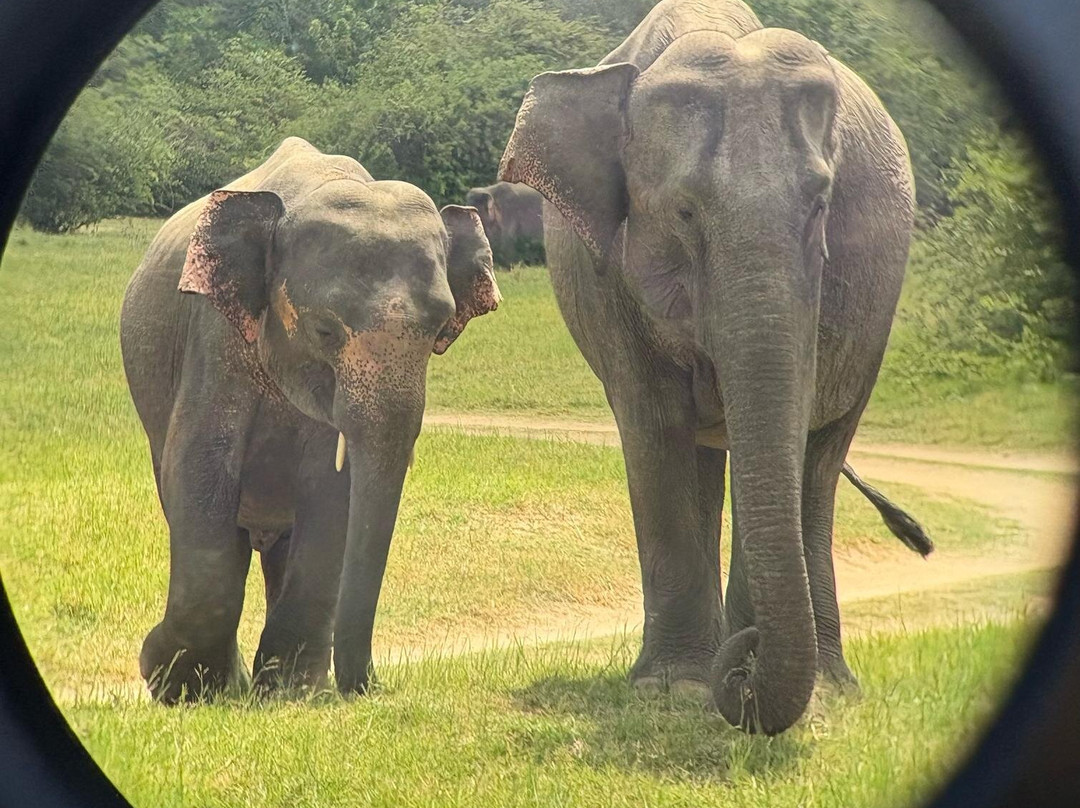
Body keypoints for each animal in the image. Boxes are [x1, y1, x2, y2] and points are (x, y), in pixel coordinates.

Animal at [120, 137, 500, 702]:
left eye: (439, 331)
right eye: (324, 331)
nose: (369, 687)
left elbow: (332, 493)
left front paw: (290, 694)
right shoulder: (214, 334)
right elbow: (200, 469)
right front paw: (173, 683)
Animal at [499, 0, 923, 733]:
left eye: (821, 206)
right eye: (684, 211)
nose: (746, 666)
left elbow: (793, 420)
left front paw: (732, 675)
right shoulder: (607, 278)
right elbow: (652, 423)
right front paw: (671, 689)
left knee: (820, 461)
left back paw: (830, 682)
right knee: (702, 452)